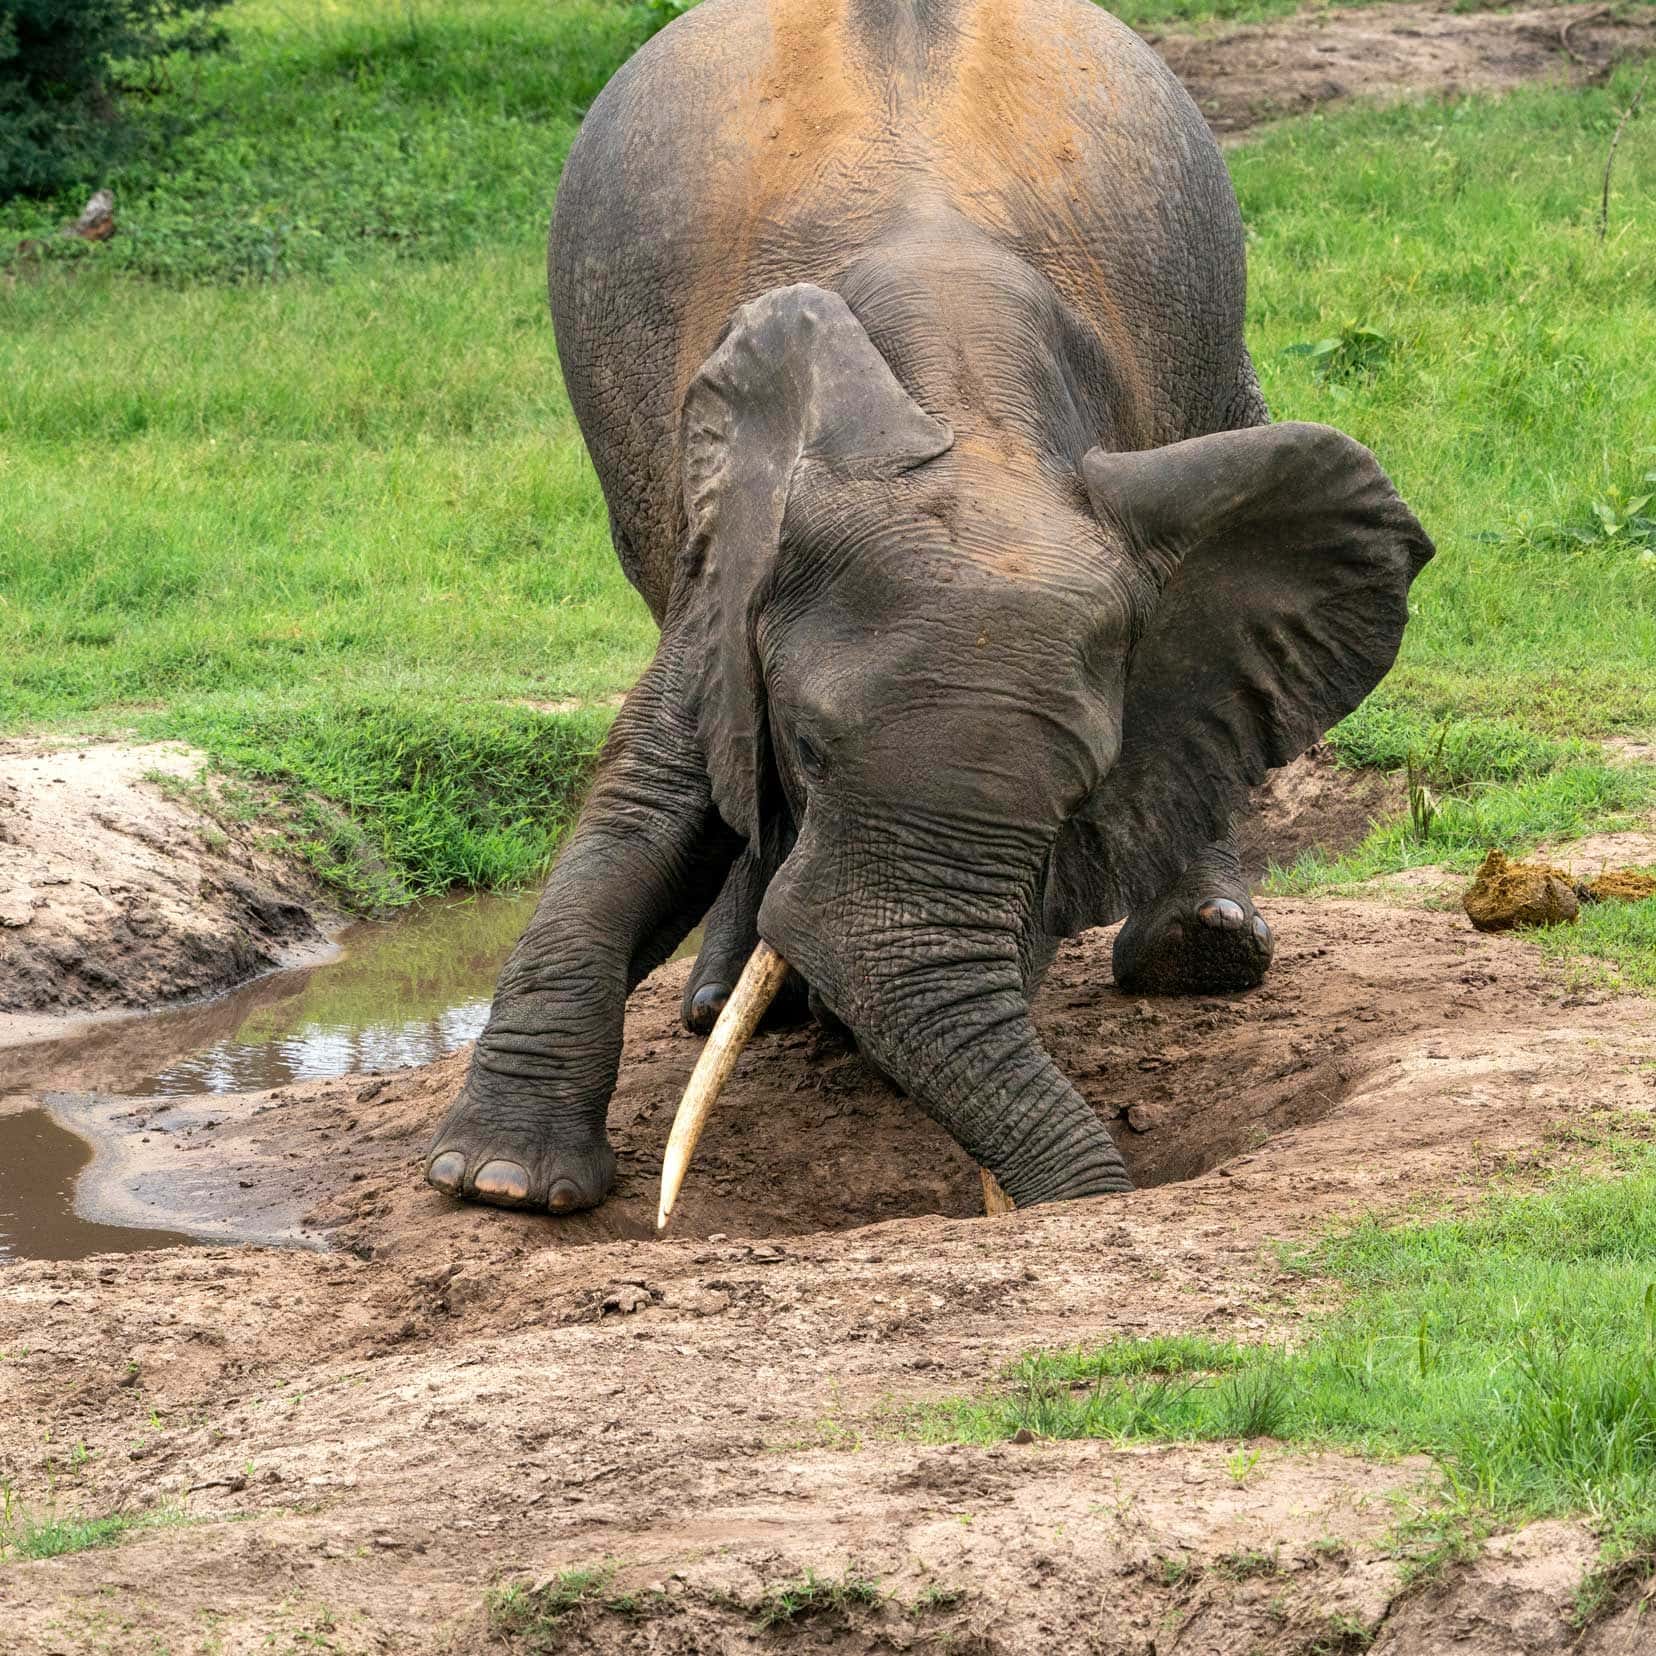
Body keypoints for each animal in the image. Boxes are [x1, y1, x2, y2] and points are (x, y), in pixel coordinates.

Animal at [427, 0, 1437, 1218]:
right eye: (807, 751)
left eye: (1076, 793)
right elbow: (655, 797)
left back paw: (1202, 953)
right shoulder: (731, 560)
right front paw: (502, 1185)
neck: (969, 411)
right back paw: (729, 1010)